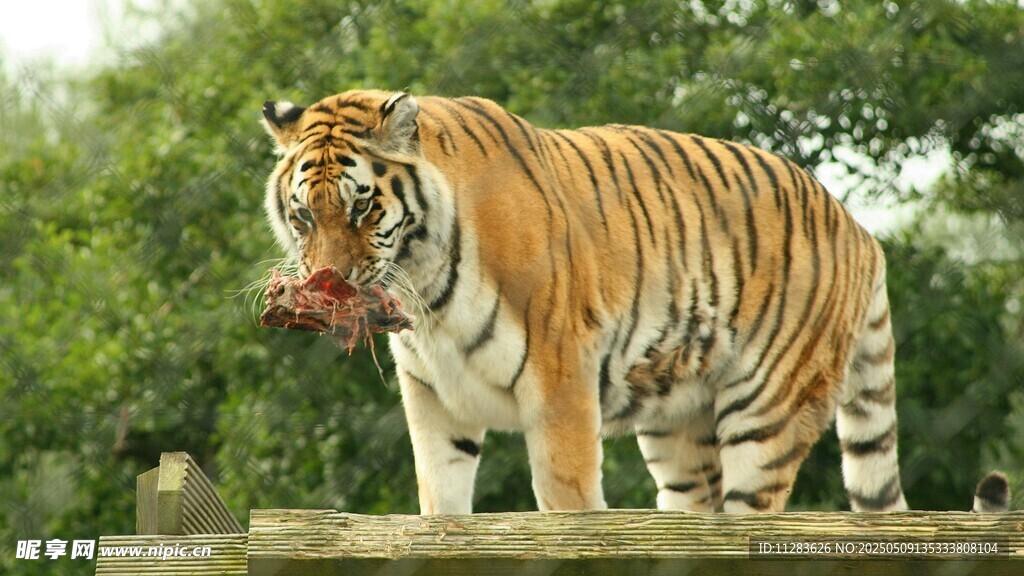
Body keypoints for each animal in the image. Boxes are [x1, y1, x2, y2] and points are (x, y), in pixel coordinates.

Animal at [260, 89, 1009, 514]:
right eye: (303, 216)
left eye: (361, 209)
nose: (328, 284)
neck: (428, 293)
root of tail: (859, 228)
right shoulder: (435, 397)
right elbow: (440, 507)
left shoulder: (559, 377)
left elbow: (565, 501)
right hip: (680, 430)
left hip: (768, 409)